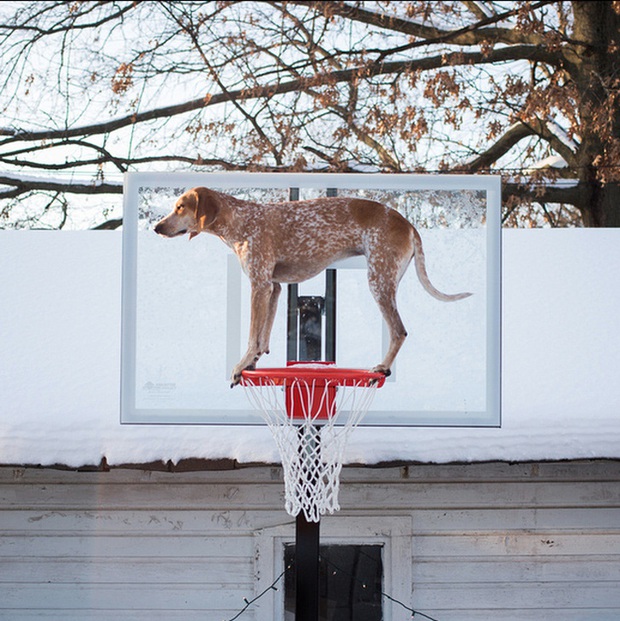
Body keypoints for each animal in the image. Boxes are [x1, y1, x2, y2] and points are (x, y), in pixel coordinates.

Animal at [154, 186, 470, 386]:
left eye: (180, 207)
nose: (157, 227)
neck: (241, 219)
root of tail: (406, 223)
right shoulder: (273, 288)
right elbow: (262, 338)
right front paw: (252, 363)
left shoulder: (259, 285)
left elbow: (253, 336)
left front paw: (241, 365)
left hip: (379, 281)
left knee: (399, 331)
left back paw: (382, 367)